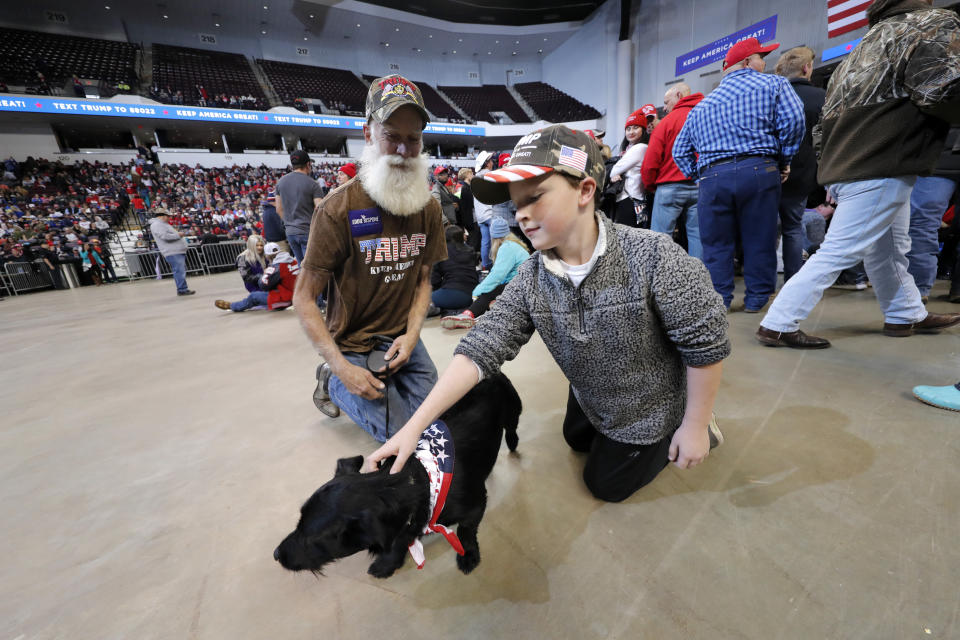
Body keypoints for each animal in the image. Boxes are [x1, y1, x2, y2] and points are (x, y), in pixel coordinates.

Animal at [274, 372, 520, 576]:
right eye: (298, 522)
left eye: (313, 539)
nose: (276, 555)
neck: (421, 481)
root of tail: (492, 373)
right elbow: (399, 541)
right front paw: (387, 564)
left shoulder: (474, 507)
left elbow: (465, 533)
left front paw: (468, 555)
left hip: (513, 411)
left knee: (512, 429)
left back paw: (513, 442)